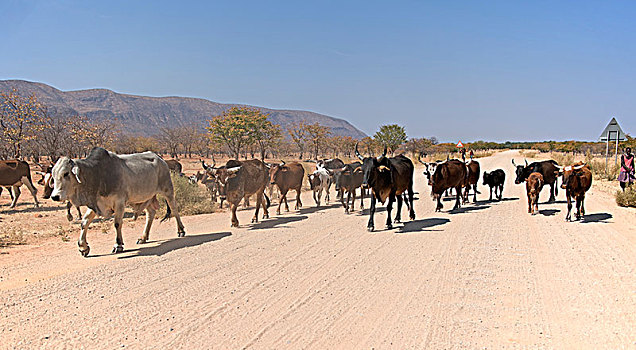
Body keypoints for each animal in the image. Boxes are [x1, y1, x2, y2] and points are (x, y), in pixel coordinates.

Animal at [50, 146, 185, 256]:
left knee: (174, 208)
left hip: (168, 189)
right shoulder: (96, 203)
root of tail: (160, 158)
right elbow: (85, 222)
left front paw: (118, 245)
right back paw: (143, 237)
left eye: (66, 173)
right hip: (146, 196)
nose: (55, 196)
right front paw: (83, 247)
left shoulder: (119, 202)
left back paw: (181, 230)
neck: (96, 174)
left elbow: (117, 223)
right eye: (53, 174)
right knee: (150, 213)